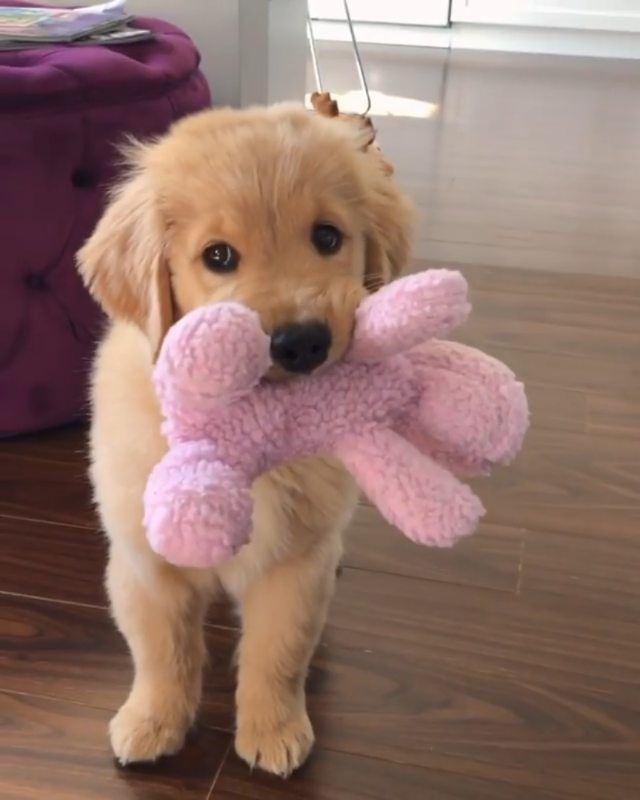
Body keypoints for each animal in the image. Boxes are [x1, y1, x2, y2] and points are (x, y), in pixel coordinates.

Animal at [77, 101, 416, 776]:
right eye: (219, 256)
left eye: (328, 238)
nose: (303, 342)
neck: (248, 422)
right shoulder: (144, 562)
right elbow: (161, 652)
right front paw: (153, 720)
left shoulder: (295, 565)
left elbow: (276, 654)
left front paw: (273, 728)